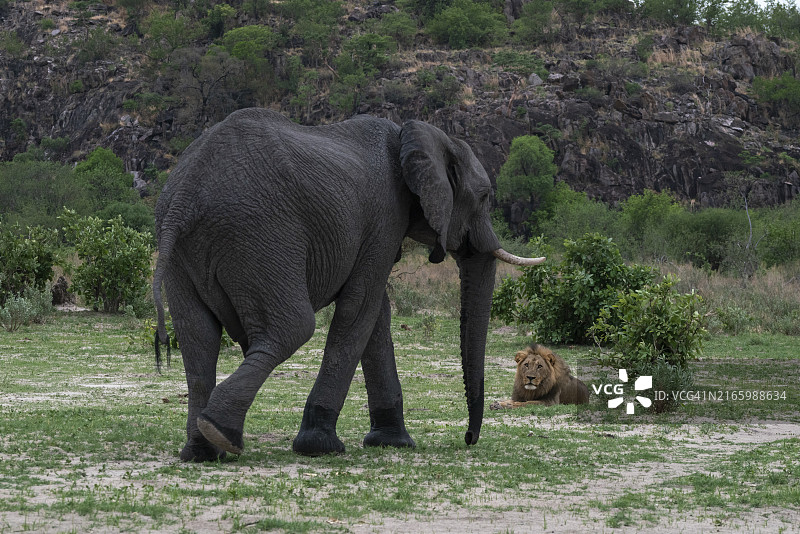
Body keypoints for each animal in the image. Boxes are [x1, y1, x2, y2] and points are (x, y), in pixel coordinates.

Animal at [152, 108, 544, 460]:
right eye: (484, 197)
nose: (468, 438)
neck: (418, 135)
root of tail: (183, 197)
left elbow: (376, 316)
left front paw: (392, 443)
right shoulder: (386, 216)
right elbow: (360, 308)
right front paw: (320, 447)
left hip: (187, 250)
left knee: (198, 336)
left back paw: (202, 450)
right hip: (260, 235)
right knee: (292, 328)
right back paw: (221, 434)